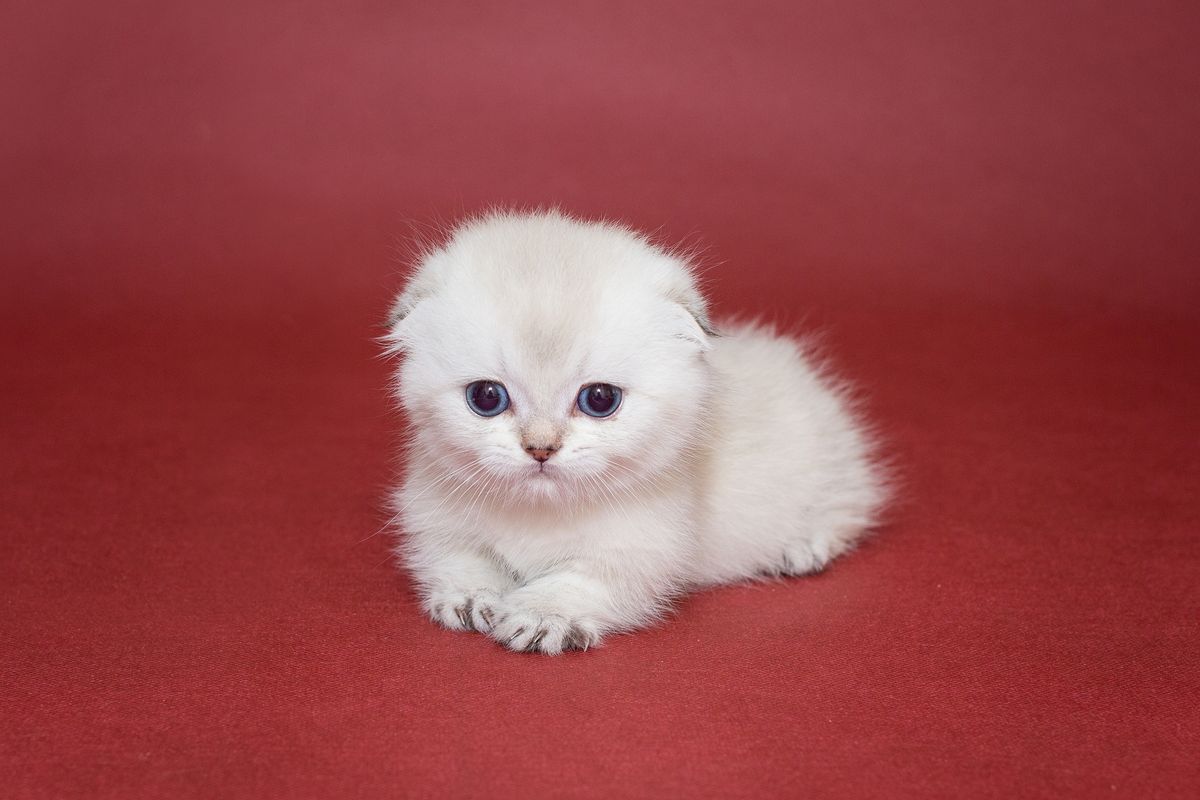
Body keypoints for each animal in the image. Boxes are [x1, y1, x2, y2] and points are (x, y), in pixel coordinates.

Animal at [386, 209, 892, 652]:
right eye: (487, 397)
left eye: (599, 399)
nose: (540, 449)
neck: (539, 515)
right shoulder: (435, 518)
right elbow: (460, 559)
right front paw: (472, 599)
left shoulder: (644, 554)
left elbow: (580, 581)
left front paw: (543, 616)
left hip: (827, 463)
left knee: (849, 505)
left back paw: (803, 547)